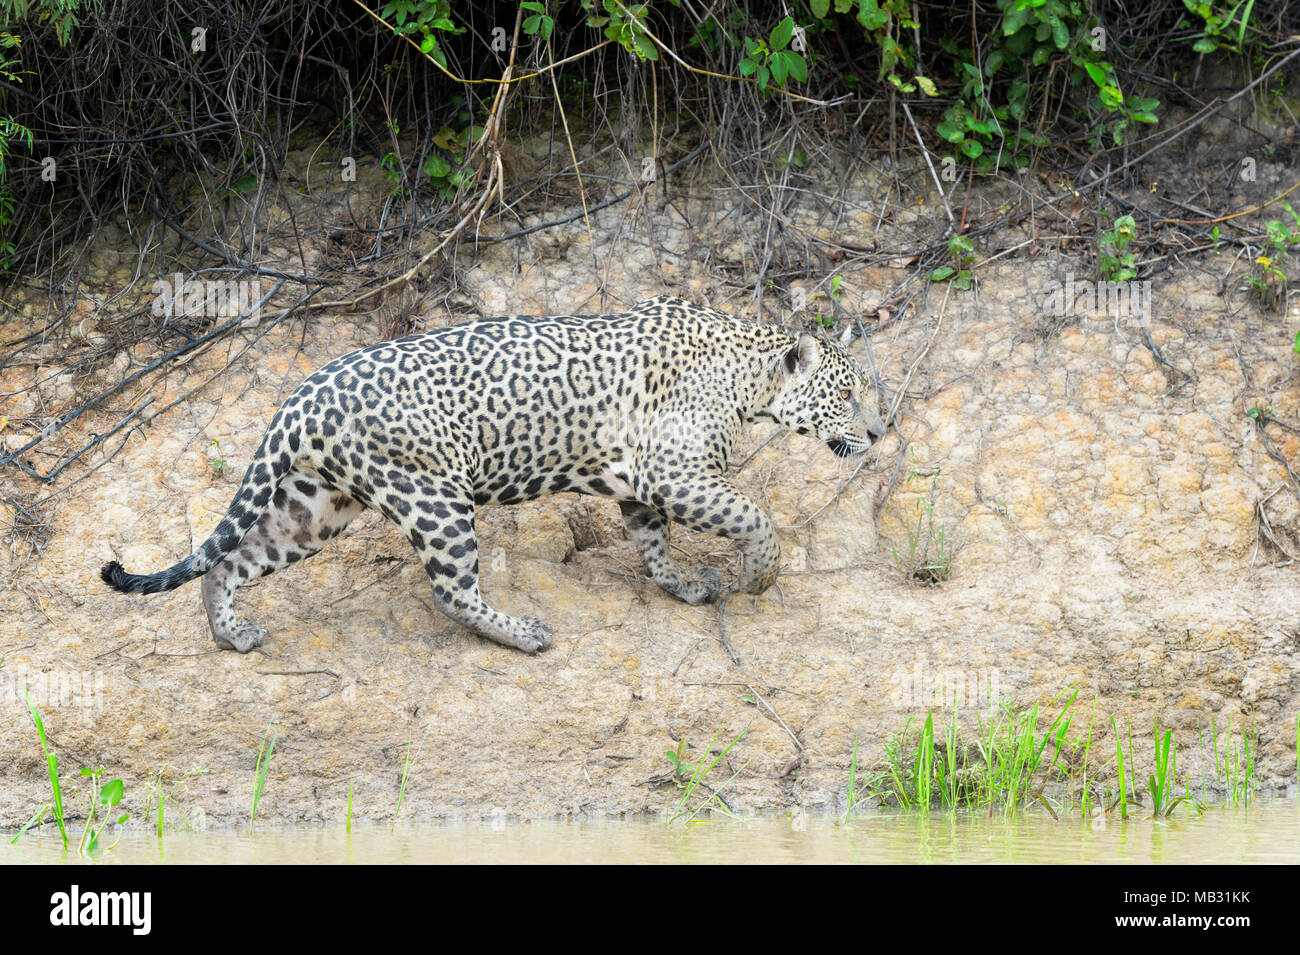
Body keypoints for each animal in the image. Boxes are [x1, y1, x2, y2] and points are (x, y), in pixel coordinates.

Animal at [101, 296, 886, 654]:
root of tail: (299, 396)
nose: (882, 431)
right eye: (848, 394)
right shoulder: (675, 474)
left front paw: (684, 586)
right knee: (451, 592)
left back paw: (230, 634)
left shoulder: (642, 487)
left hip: (317, 506)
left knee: (225, 563)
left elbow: (654, 544)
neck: (750, 377)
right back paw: (523, 633)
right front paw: (759, 575)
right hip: (434, 494)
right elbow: (754, 517)